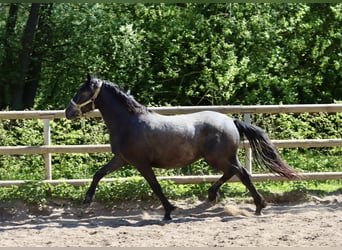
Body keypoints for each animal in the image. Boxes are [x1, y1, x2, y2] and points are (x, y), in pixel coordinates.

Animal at [64, 74, 300, 221]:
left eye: (82, 92)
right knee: (239, 173)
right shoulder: (121, 159)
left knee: (239, 173)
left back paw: (253, 204)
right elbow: (98, 174)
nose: (68, 111)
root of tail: (231, 121)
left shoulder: (141, 163)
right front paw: (87, 200)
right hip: (225, 157)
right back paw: (233, 200)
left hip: (218, 158)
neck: (129, 122)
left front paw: (169, 211)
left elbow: (155, 186)